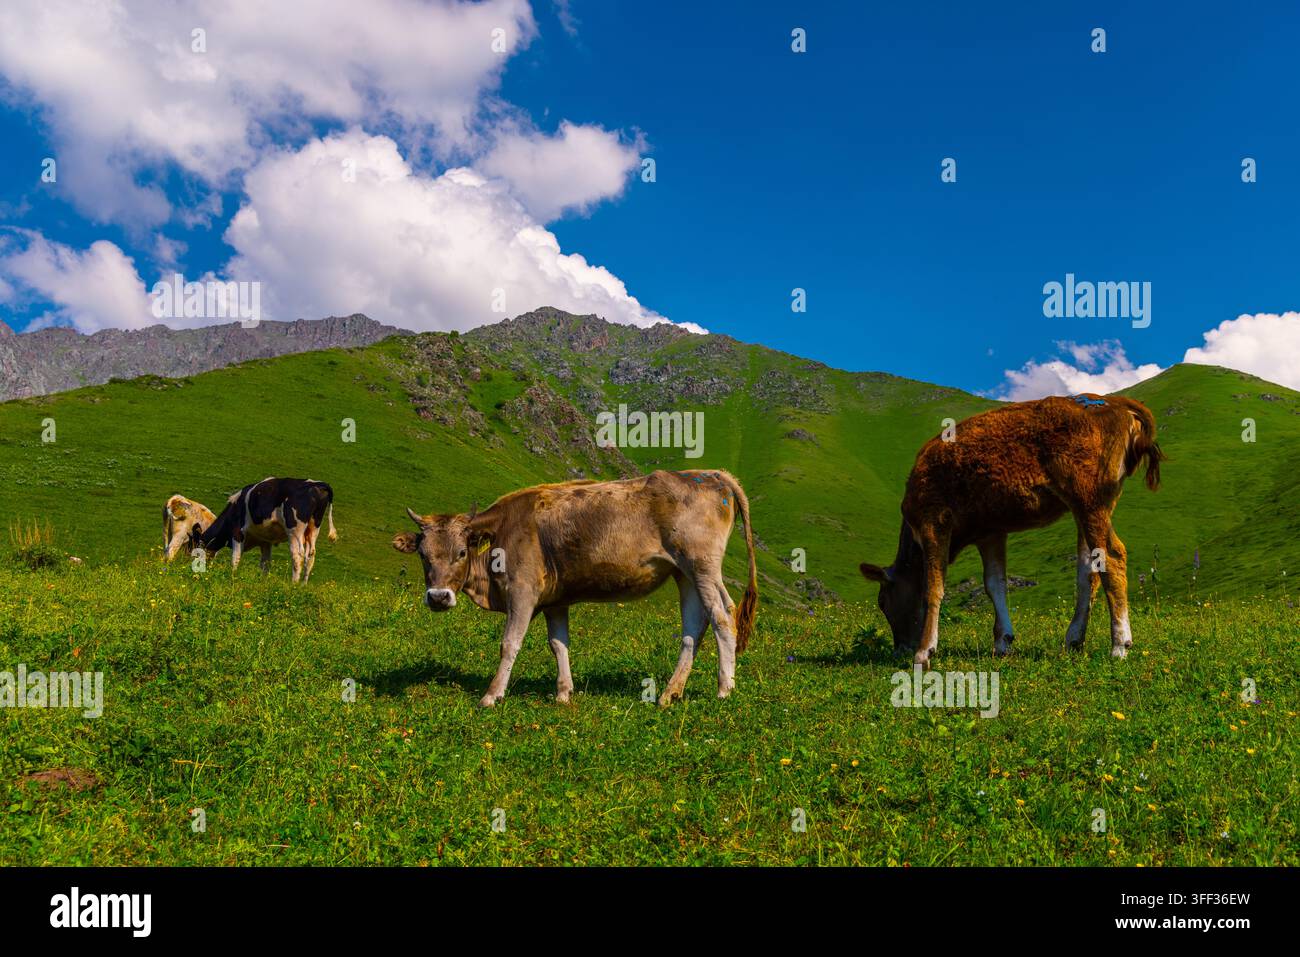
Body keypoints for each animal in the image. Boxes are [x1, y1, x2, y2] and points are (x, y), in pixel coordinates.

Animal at [189, 477, 337, 582]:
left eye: (192, 548)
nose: (188, 567)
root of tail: (317, 484)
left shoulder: (237, 532)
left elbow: (235, 558)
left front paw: (232, 577)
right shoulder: (266, 541)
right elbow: (265, 564)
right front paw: (263, 582)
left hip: (295, 529)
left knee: (297, 555)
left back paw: (294, 584)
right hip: (313, 528)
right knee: (310, 555)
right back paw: (303, 585)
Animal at [391, 469, 759, 708]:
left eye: (461, 552)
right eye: (423, 555)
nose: (438, 597)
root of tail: (710, 474)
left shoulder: (522, 591)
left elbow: (510, 643)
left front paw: (491, 695)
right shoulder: (555, 599)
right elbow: (559, 645)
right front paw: (564, 693)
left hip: (702, 565)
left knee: (723, 616)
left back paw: (724, 689)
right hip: (684, 573)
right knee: (694, 626)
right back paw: (670, 693)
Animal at [859, 394, 1164, 666]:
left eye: (882, 601)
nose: (900, 649)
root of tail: (1115, 402)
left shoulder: (933, 520)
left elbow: (934, 587)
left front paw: (925, 652)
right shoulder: (991, 531)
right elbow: (995, 583)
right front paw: (1002, 641)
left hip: (1089, 498)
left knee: (1113, 556)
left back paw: (1119, 645)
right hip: (1089, 507)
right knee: (1088, 570)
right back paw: (1074, 639)